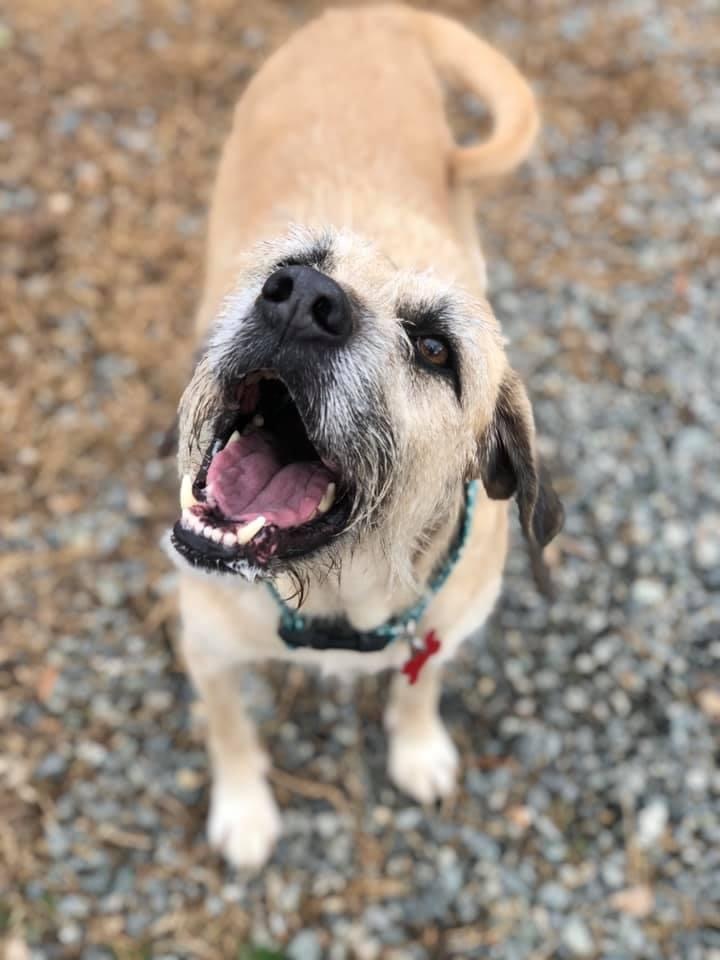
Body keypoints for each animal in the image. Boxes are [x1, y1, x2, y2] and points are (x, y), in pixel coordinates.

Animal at [167, 1, 564, 872]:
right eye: (298, 261)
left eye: (436, 348)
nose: (299, 296)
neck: (338, 594)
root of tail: (373, 15)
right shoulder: (206, 646)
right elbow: (229, 729)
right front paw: (243, 810)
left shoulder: (442, 629)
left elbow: (419, 685)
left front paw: (417, 750)